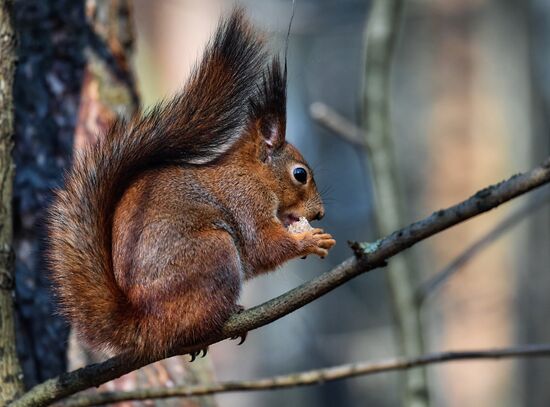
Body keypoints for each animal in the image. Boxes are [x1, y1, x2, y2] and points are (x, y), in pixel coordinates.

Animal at [47, 8, 338, 360]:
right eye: (300, 174)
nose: (320, 214)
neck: (252, 174)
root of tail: (144, 325)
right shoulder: (247, 201)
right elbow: (263, 246)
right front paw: (309, 241)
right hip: (215, 253)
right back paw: (225, 317)